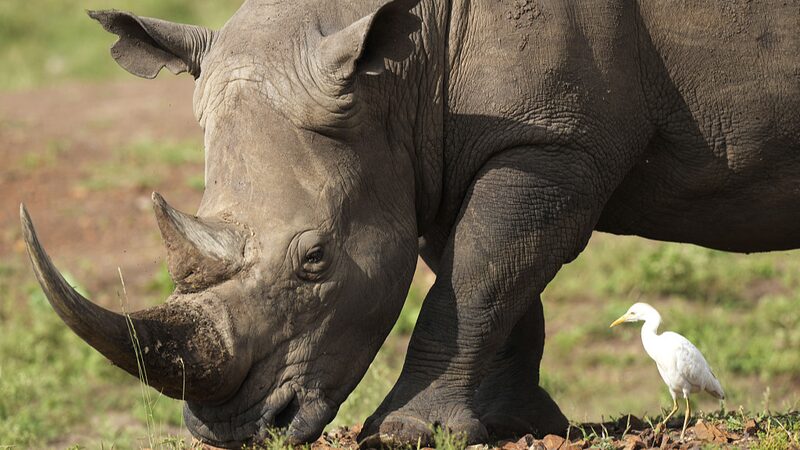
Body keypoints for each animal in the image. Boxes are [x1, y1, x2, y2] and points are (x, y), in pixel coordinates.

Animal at [20, 0, 800, 447]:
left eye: (315, 259)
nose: (235, 432)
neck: (401, 71)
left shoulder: (553, 142)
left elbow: (481, 269)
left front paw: (404, 432)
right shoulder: (435, 144)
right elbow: (491, 277)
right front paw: (511, 424)